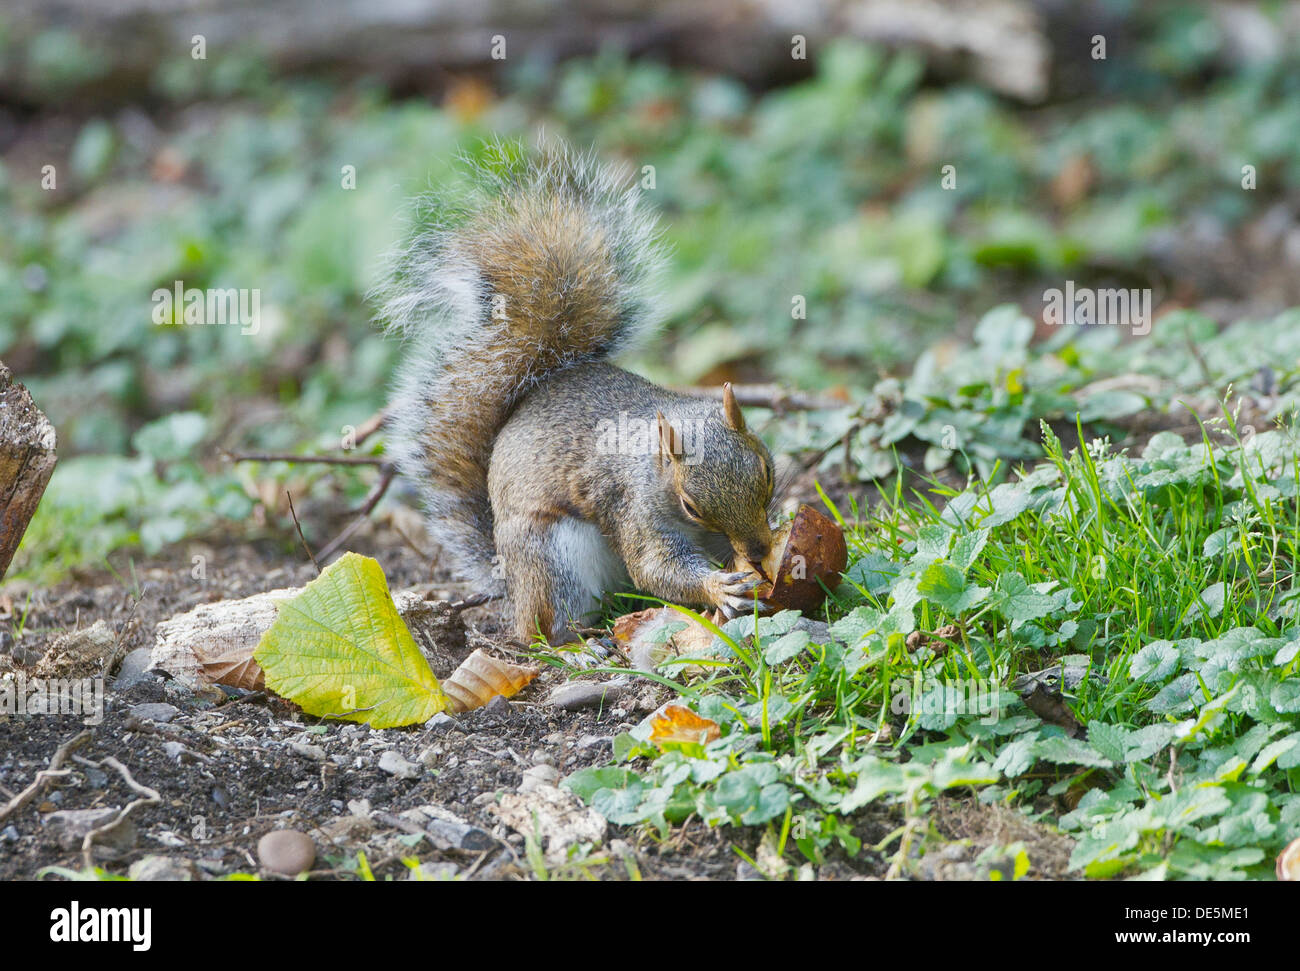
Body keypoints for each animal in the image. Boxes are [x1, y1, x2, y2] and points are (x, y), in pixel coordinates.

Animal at [378, 141, 776, 644]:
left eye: (767, 470)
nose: (759, 551)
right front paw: (718, 588)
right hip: (552, 561)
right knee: (545, 630)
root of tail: (507, 579)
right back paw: (579, 648)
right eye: (691, 505)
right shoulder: (631, 506)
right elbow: (655, 567)